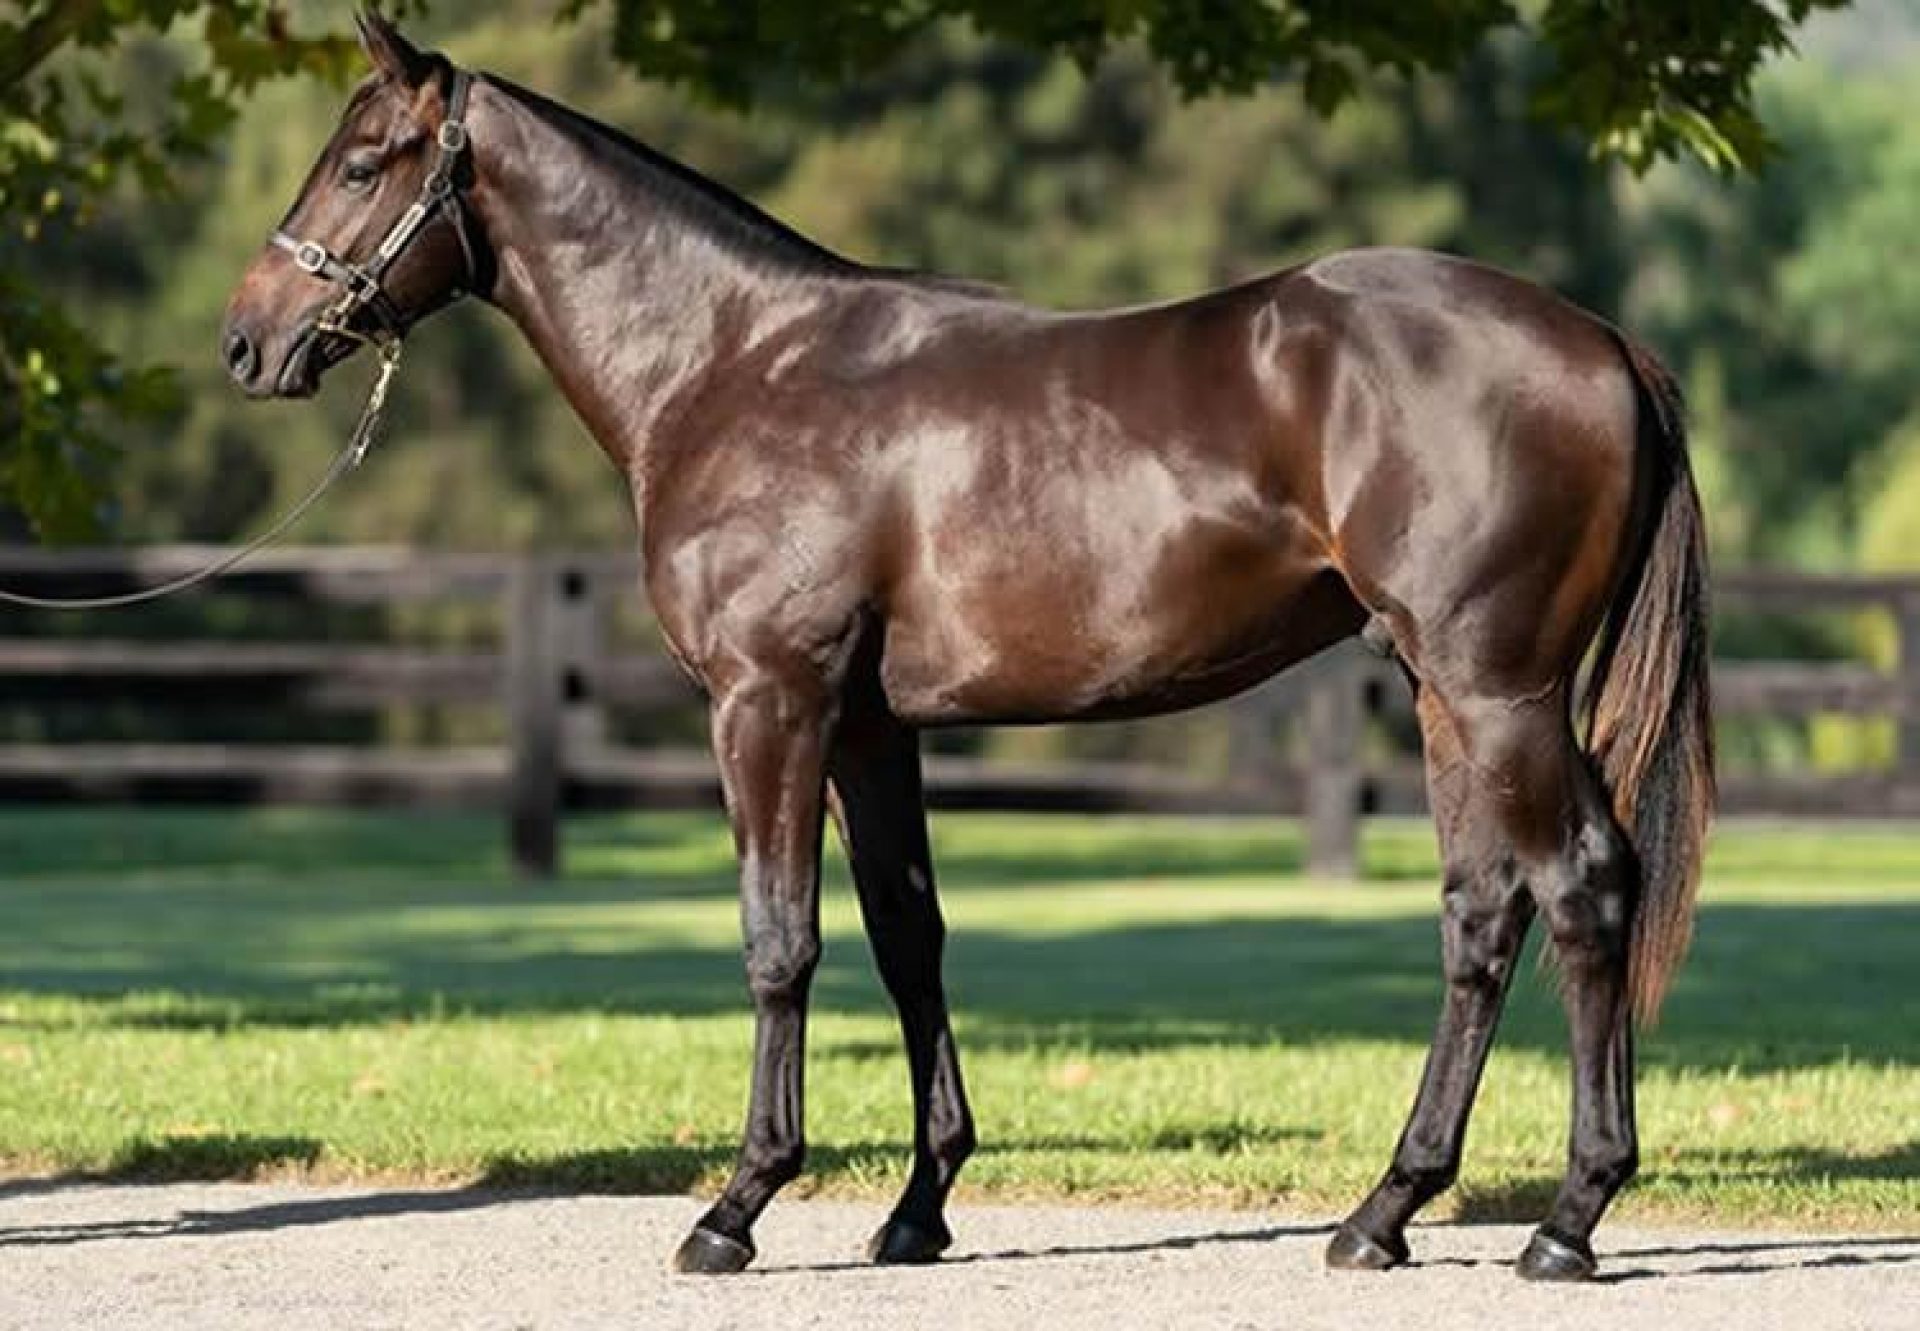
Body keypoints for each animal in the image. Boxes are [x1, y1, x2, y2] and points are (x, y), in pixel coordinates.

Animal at [220, 7, 1712, 1275]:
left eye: (362, 162)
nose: (247, 342)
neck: (733, 365)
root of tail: (1604, 343)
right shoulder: (872, 728)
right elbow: (907, 936)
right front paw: (917, 1207)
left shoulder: (769, 704)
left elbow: (781, 939)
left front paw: (737, 1204)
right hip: (1445, 693)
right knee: (1481, 912)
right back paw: (1382, 1213)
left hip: (1497, 687)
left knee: (1582, 888)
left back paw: (1567, 1221)